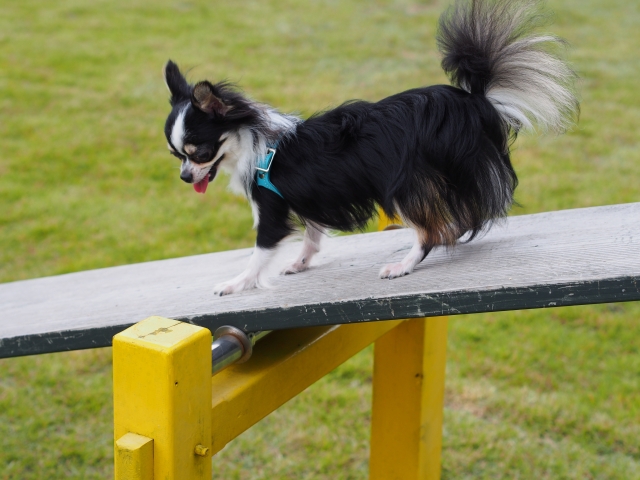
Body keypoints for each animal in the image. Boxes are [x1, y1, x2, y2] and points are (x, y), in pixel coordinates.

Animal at [162, 0, 576, 296]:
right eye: (176, 156)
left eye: (198, 152)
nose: (183, 177)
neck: (255, 141)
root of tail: (474, 102)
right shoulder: (310, 198)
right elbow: (312, 233)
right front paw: (301, 262)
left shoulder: (272, 209)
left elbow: (259, 254)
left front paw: (235, 284)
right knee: (453, 222)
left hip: (403, 185)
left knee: (431, 231)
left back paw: (403, 265)